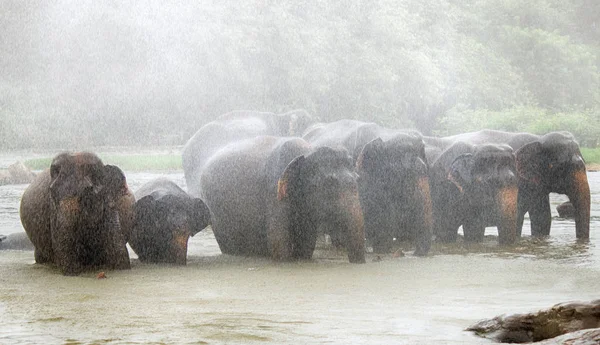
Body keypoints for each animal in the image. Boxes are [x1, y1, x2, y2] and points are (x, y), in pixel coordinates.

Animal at [200, 136, 366, 262]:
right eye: (329, 184)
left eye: (358, 179)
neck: (307, 151)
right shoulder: (274, 192)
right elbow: (279, 241)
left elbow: (307, 241)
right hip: (217, 216)